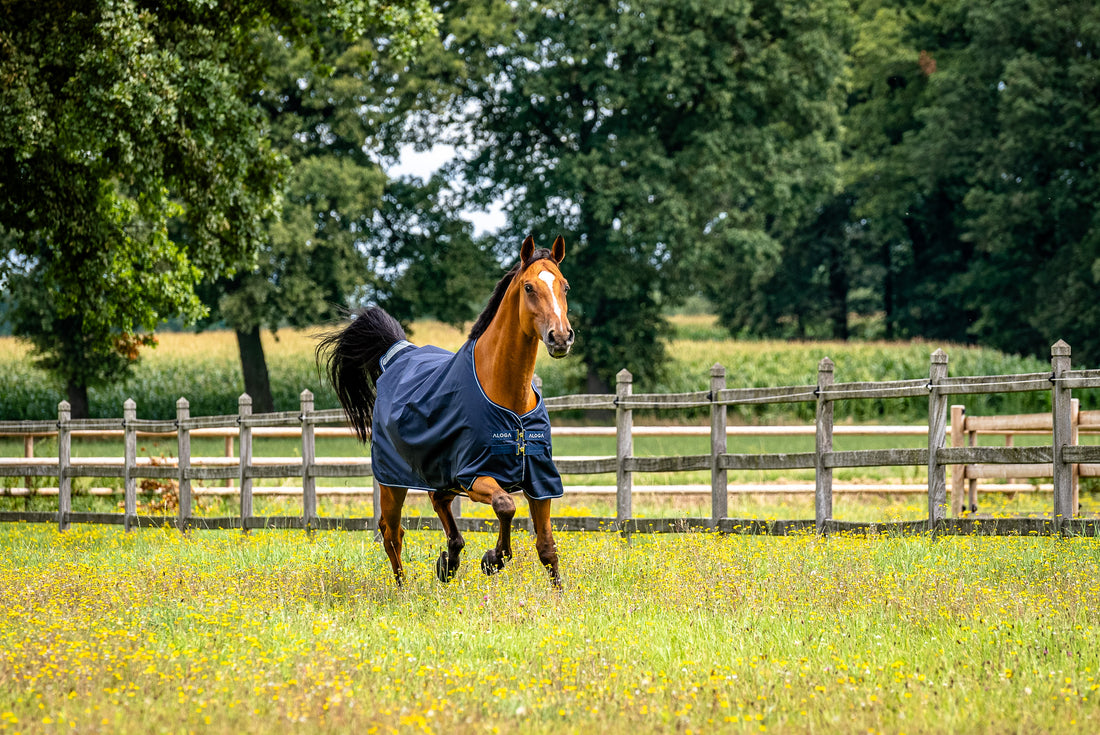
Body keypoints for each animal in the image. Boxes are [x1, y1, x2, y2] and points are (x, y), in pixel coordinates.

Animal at [317, 235, 574, 588]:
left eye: (565, 286)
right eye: (529, 288)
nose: (560, 337)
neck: (509, 402)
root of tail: (396, 355)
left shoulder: (540, 480)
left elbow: (546, 546)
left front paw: (557, 594)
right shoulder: (473, 475)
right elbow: (505, 505)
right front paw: (493, 559)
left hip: (440, 477)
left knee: (439, 508)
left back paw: (448, 561)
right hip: (392, 483)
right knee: (391, 532)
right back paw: (404, 588)